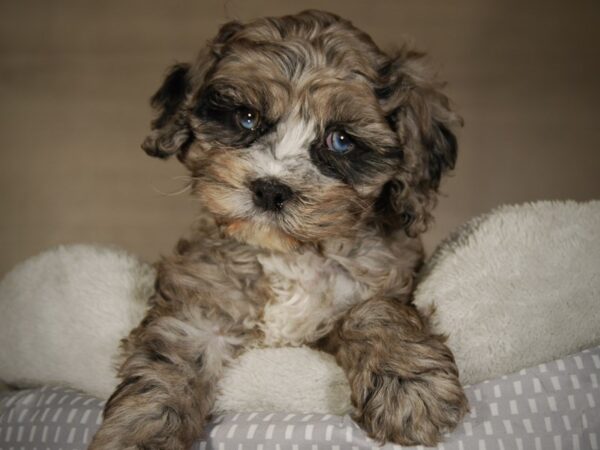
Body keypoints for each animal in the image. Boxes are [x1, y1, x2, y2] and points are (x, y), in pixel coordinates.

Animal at [91, 10, 472, 450]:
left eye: (341, 140)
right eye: (246, 118)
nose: (271, 190)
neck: (290, 254)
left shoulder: (383, 279)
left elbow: (376, 311)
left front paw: (410, 387)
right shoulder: (202, 306)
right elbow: (167, 361)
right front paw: (142, 432)